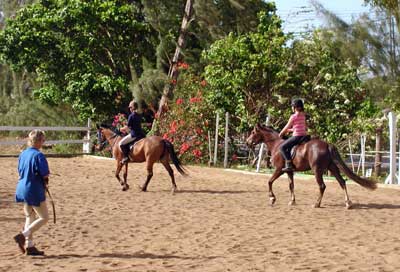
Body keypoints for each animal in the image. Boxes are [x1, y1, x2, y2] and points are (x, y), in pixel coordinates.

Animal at [245, 124, 376, 209]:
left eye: (253, 132)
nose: (247, 142)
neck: (277, 145)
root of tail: (327, 144)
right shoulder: (289, 171)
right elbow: (291, 185)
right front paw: (292, 201)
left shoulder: (279, 170)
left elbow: (269, 181)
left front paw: (272, 198)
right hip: (332, 168)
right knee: (342, 182)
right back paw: (348, 203)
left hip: (317, 170)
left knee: (322, 186)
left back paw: (317, 204)